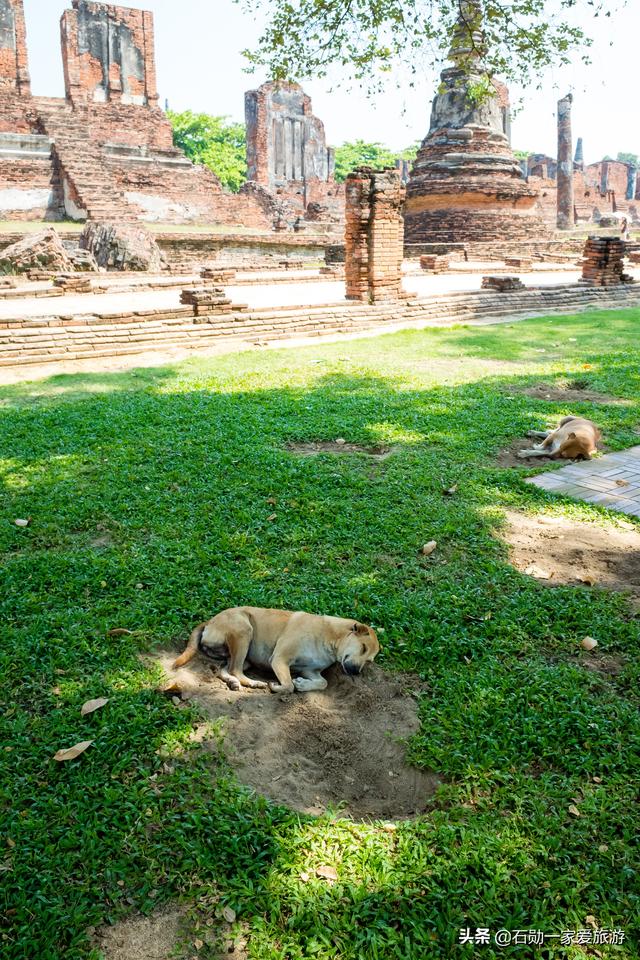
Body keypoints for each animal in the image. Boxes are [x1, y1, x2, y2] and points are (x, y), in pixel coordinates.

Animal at [172, 604, 380, 692]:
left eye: (369, 660)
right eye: (363, 648)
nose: (356, 672)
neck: (330, 636)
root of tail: (210, 621)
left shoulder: (310, 671)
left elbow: (323, 683)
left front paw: (303, 685)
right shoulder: (280, 659)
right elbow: (288, 686)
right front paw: (280, 686)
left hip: (243, 656)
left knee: (226, 669)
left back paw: (235, 682)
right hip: (244, 631)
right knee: (235, 669)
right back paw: (254, 683)